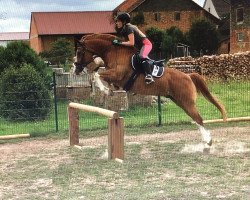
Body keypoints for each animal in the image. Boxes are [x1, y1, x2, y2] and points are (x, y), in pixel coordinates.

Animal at [73, 33, 227, 147]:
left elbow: (96, 74)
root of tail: (188, 76)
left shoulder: (117, 75)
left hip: (186, 102)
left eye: (79, 51)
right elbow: (95, 73)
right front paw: (107, 90)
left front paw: (104, 90)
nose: (76, 69)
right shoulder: (114, 77)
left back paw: (208, 141)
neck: (113, 51)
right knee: (196, 119)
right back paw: (206, 140)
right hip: (180, 101)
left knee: (199, 118)